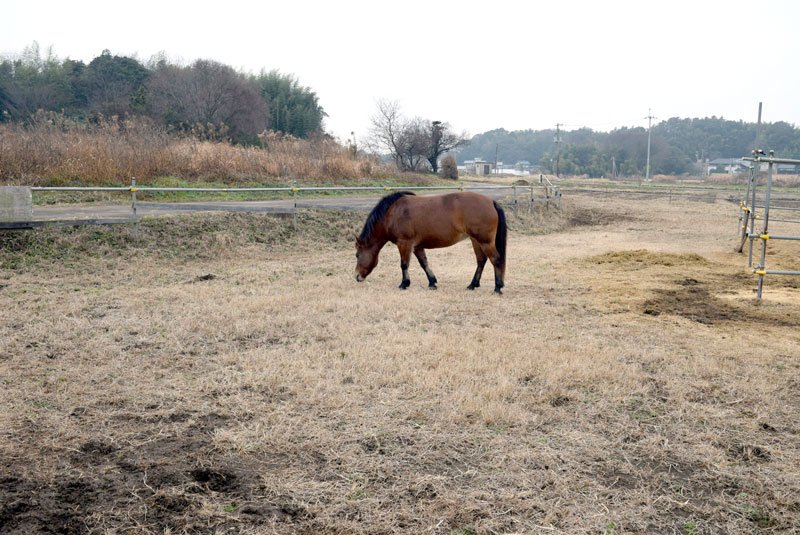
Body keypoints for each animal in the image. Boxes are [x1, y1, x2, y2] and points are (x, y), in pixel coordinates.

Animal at [354, 191, 507, 293]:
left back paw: (497, 287)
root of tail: (491, 202)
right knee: (481, 260)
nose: (357, 276)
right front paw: (432, 282)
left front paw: (404, 283)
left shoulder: (404, 243)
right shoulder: (417, 246)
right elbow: (424, 263)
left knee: (496, 259)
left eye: (357, 255)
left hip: (485, 241)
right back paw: (473, 284)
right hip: (476, 240)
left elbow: (404, 264)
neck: (393, 213)